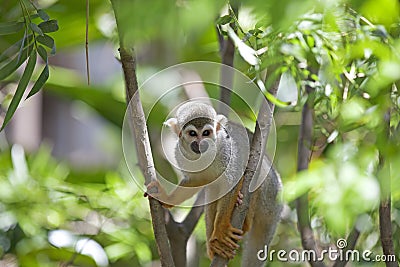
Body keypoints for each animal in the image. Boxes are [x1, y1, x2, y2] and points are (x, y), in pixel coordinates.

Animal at [146, 101, 282, 266]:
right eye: (192, 134)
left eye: (206, 133)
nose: (201, 144)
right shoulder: (180, 153)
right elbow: (197, 180)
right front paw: (166, 198)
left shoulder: (226, 150)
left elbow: (232, 180)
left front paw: (221, 230)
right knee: (212, 191)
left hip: (270, 194)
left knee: (255, 172)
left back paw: (244, 220)